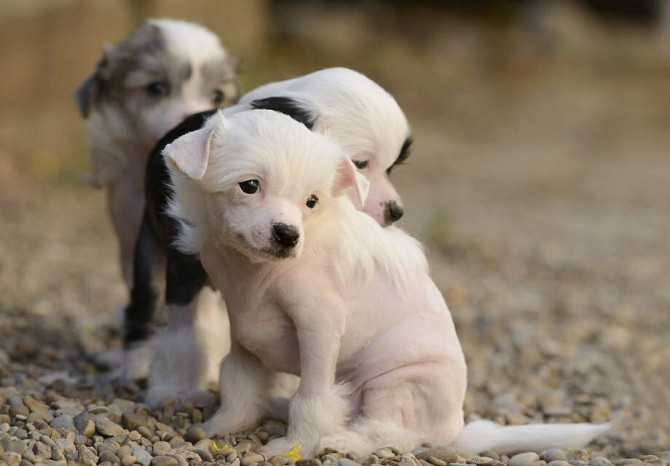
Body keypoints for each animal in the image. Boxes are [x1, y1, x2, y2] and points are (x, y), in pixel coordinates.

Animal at [75, 18, 242, 382]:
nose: (195, 120)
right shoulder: (133, 244)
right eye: (155, 88)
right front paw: (134, 362)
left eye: (217, 96)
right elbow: (143, 304)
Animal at [136, 67, 414, 406]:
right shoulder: (184, 265)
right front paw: (175, 390)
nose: (395, 211)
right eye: (360, 164)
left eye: (391, 168)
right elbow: (183, 332)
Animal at [164, 111, 616, 456]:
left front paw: (295, 446)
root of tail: (456, 429)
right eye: (249, 186)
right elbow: (238, 381)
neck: (254, 271)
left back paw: (345, 441)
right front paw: (221, 426)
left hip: (395, 384)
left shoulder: (320, 324)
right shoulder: (244, 326)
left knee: (396, 434)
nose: (288, 235)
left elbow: (312, 398)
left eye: (311, 201)